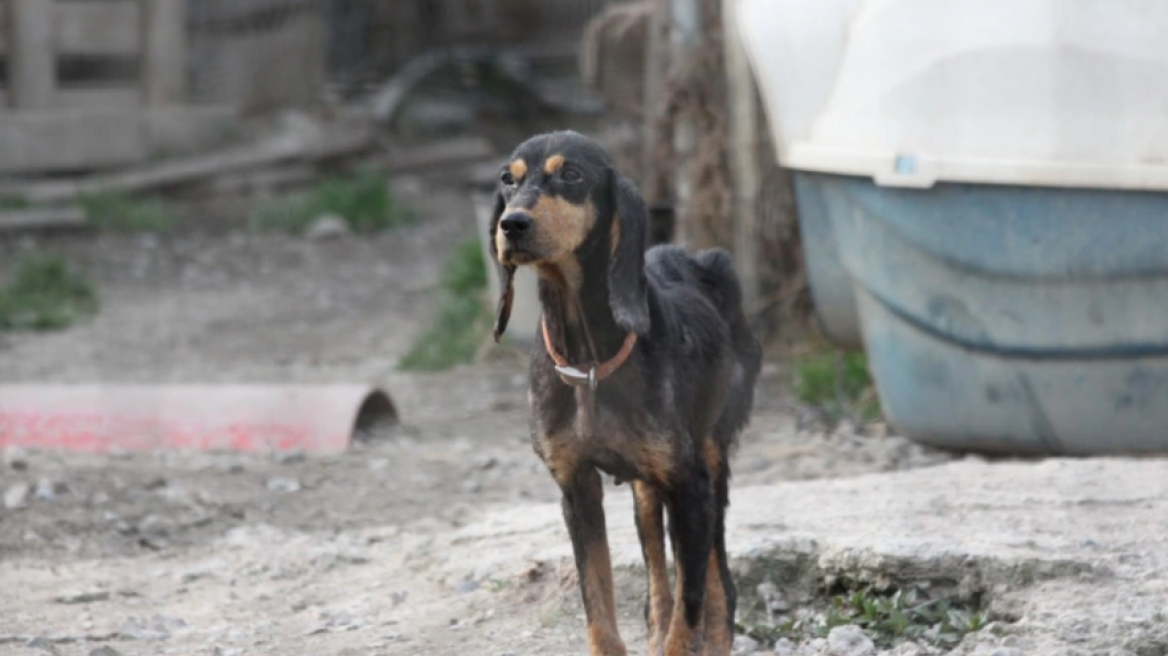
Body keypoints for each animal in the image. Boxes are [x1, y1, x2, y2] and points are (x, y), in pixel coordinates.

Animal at [488, 131, 761, 653]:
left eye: (572, 174)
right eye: (508, 180)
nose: (511, 224)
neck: (588, 359)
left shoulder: (691, 488)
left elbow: (688, 615)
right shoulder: (575, 488)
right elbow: (600, 608)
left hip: (711, 458)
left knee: (719, 585)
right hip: (647, 489)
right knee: (657, 583)